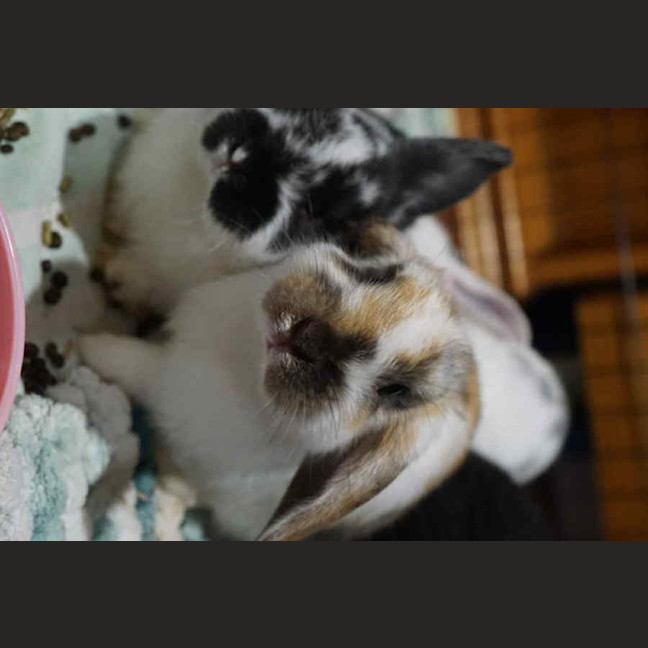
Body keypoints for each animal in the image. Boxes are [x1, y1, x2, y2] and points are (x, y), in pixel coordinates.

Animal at [80, 222, 479, 541]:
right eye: (382, 273)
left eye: (396, 391)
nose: (310, 339)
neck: (246, 360)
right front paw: (114, 273)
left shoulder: (166, 383)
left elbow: (130, 362)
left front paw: (82, 347)